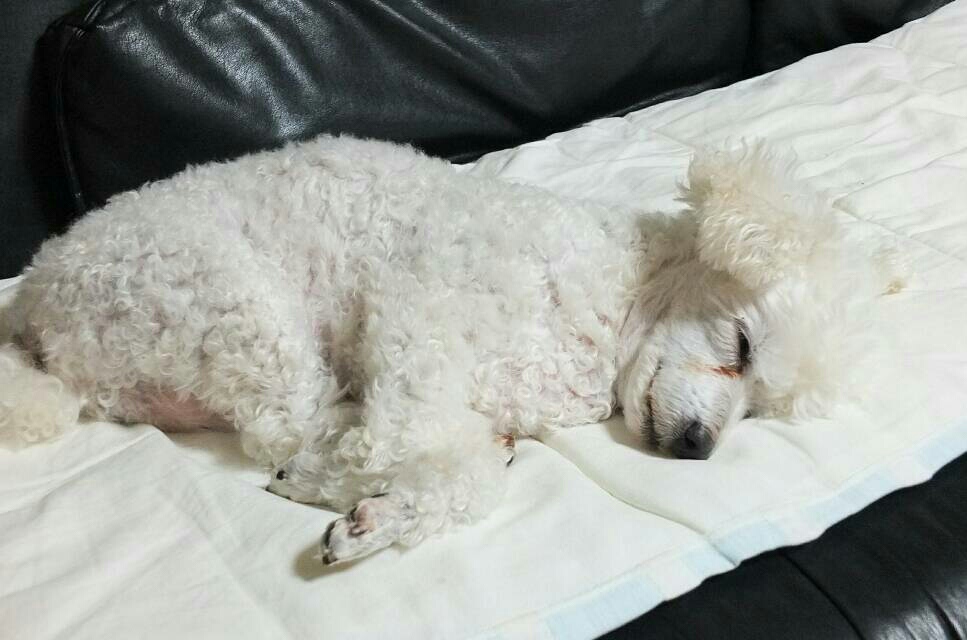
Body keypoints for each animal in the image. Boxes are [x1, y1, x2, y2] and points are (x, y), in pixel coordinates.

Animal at [0, 136, 902, 564]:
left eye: (762, 410)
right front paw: (368, 497)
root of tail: (38, 303)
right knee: (286, 425)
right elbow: (403, 441)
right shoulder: (415, 317)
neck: (609, 302)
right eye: (741, 346)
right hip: (231, 307)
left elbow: (458, 473)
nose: (697, 447)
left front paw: (384, 518)